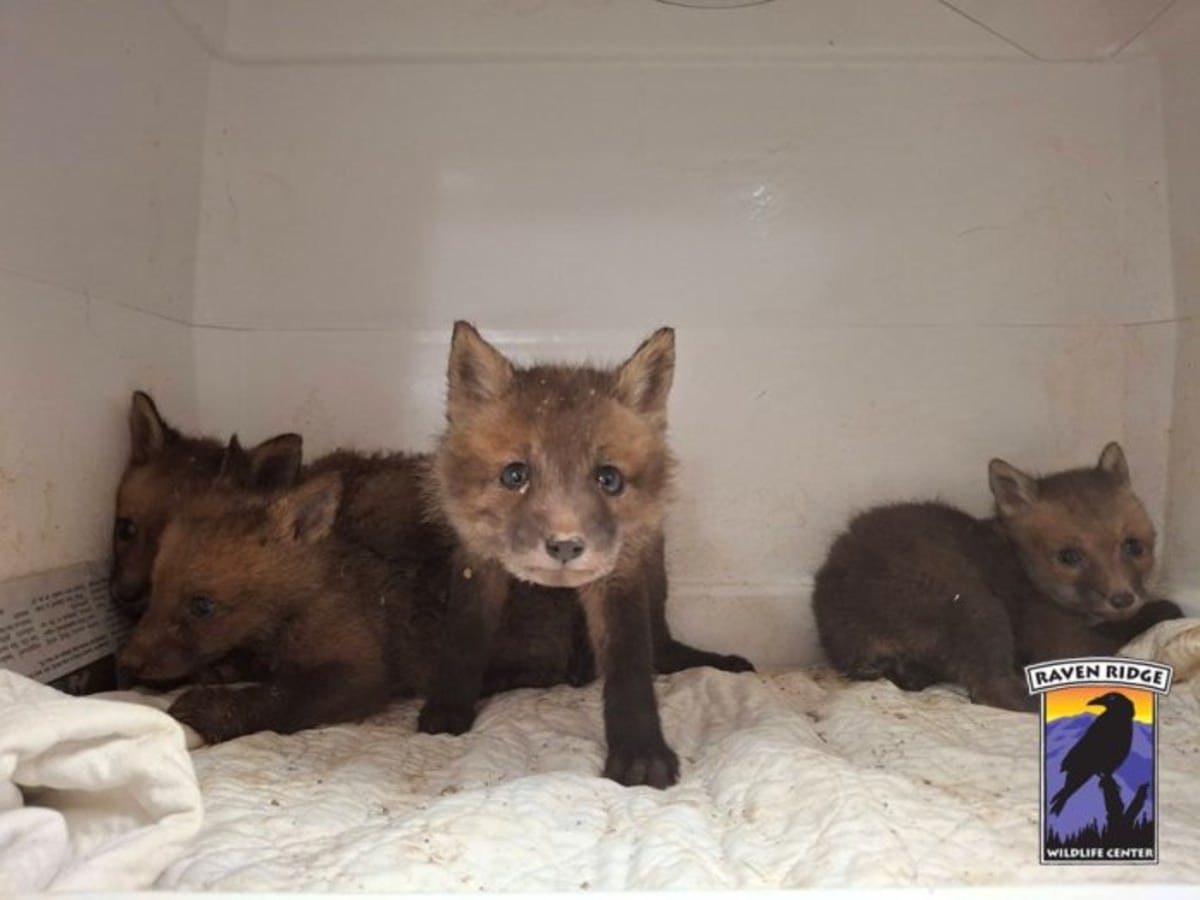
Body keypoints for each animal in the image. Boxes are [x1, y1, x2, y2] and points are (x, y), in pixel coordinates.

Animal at [416, 322, 753, 789]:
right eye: (515, 475)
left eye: (608, 479)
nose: (565, 545)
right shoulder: (476, 558)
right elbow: (463, 639)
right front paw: (450, 705)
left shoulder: (619, 572)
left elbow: (631, 666)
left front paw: (640, 753)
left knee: (660, 644)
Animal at [812, 443, 1182, 711]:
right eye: (1069, 557)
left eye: (1133, 546)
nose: (1122, 598)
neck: (1022, 567)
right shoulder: (1064, 644)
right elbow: (1153, 615)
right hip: (977, 608)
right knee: (989, 691)